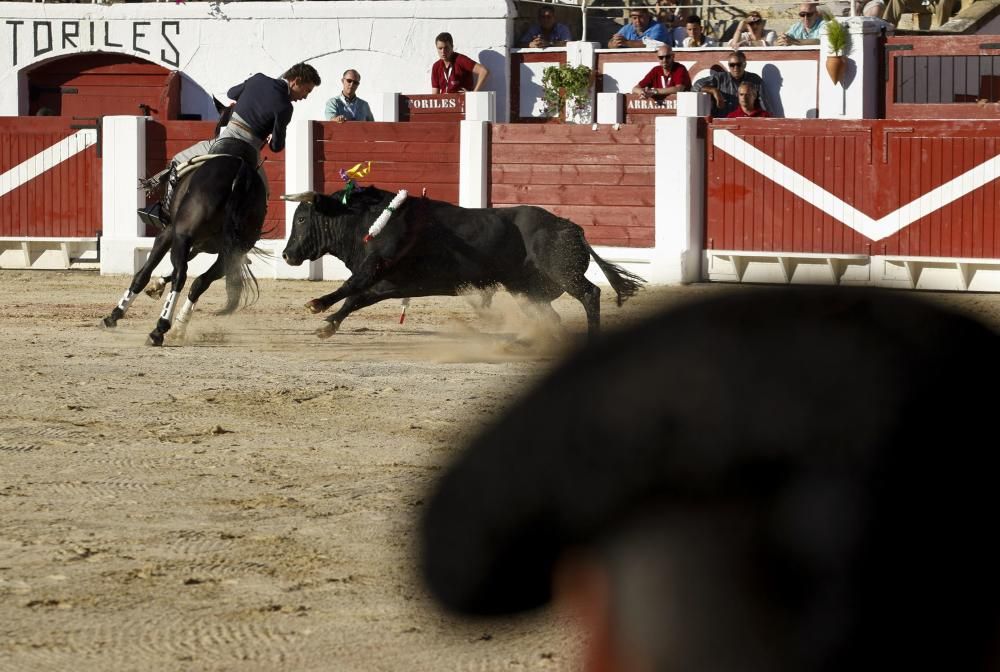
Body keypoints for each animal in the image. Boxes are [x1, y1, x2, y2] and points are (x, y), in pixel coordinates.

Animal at [99, 148, 268, 346]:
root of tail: (240, 171)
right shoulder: (200, 246)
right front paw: (157, 286)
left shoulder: (169, 234)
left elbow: (144, 273)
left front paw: (114, 316)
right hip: (233, 252)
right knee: (200, 282)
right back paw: (179, 327)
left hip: (182, 235)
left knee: (181, 275)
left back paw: (160, 329)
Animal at [280, 186, 648, 338]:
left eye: (301, 219)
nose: (287, 255)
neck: (365, 220)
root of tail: (573, 227)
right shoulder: (389, 282)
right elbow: (356, 298)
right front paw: (328, 325)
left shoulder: (378, 264)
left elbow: (350, 286)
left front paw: (317, 304)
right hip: (526, 290)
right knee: (551, 315)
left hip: (563, 274)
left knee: (590, 294)